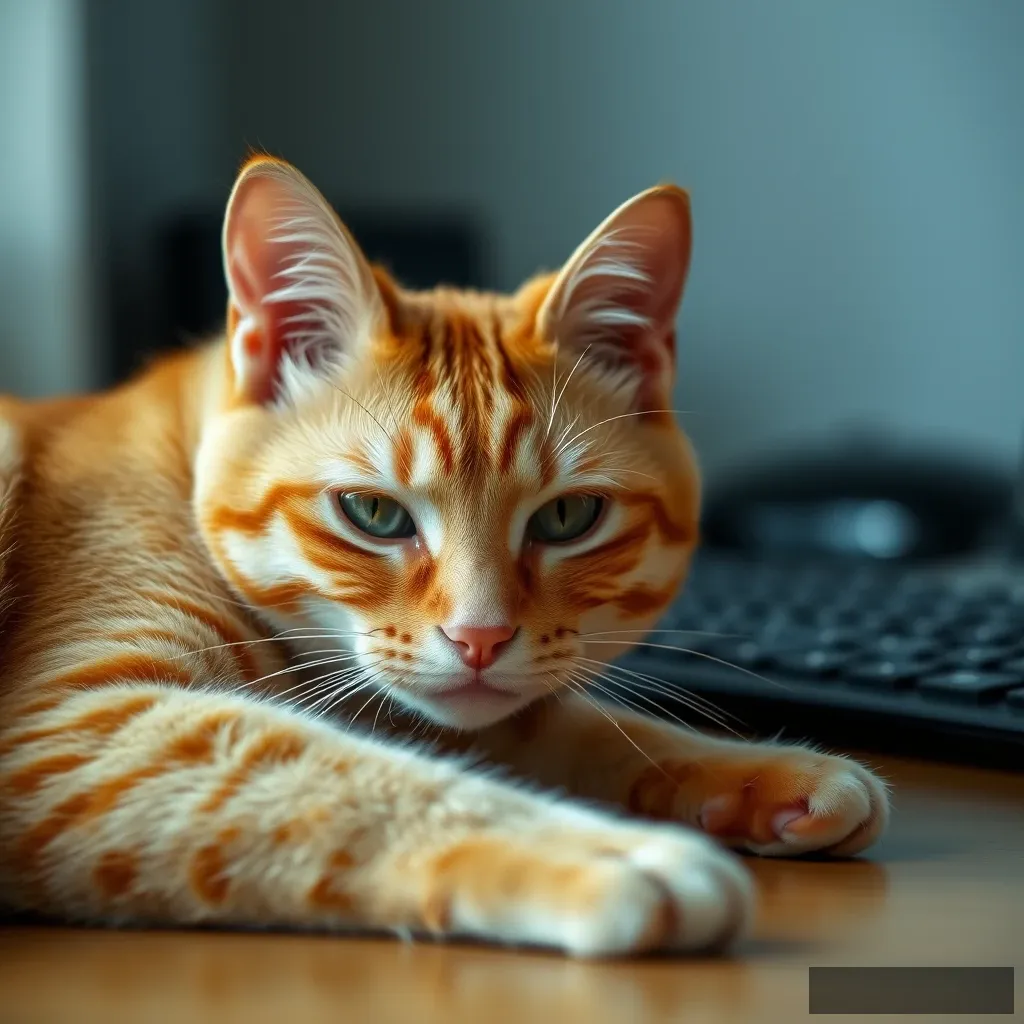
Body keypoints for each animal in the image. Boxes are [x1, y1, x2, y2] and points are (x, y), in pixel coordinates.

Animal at [0, 155, 884, 954]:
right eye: (373, 513)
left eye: (567, 516)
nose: (480, 638)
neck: (176, 467)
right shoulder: (70, 729)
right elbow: (344, 779)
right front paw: (608, 854)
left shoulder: (440, 703)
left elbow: (574, 727)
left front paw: (759, 773)